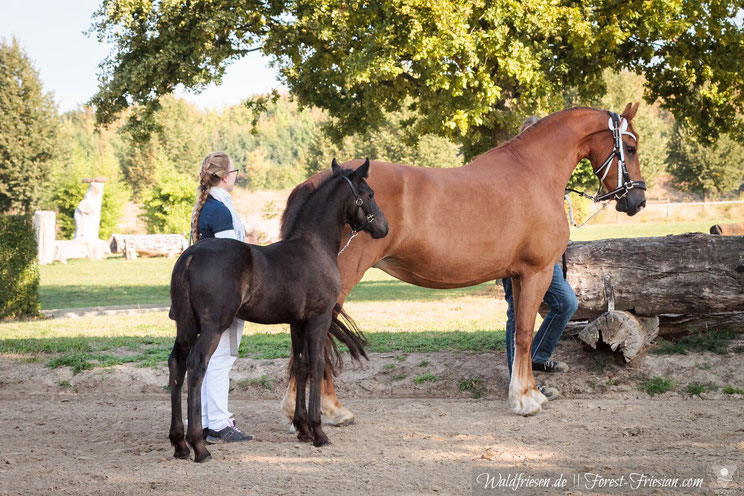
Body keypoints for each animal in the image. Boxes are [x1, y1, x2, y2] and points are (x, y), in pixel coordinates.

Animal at [168, 159, 386, 462]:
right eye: (369, 194)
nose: (384, 228)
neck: (313, 248)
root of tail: (190, 255)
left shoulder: (297, 322)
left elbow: (301, 365)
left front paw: (303, 428)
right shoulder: (319, 318)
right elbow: (317, 365)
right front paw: (318, 432)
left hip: (186, 327)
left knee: (176, 365)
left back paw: (179, 443)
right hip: (212, 327)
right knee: (197, 366)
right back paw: (199, 446)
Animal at [280, 103, 644, 418]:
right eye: (630, 147)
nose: (638, 200)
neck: (534, 172)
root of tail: (313, 184)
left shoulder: (516, 276)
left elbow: (517, 334)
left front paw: (528, 392)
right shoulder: (536, 273)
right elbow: (525, 334)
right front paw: (525, 399)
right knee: (320, 337)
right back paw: (332, 409)